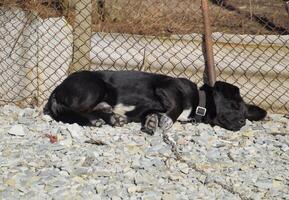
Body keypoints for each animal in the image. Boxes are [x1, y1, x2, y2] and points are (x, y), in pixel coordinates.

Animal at [44, 70, 266, 134]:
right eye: (235, 106)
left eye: (245, 113)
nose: (243, 122)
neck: (199, 103)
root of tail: (58, 88)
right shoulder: (167, 87)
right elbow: (176, 106)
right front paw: (166, 121)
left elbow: (153, 114)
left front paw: (153, 121)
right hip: (94, 87)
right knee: (71, 110)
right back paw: (94, 120)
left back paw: (113, 118)